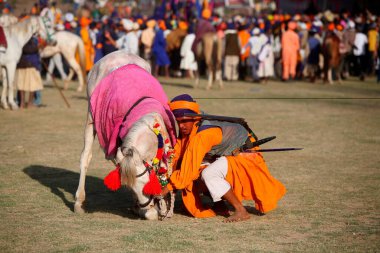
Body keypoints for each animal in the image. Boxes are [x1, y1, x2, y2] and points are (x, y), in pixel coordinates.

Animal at [75, 51, 177, 219]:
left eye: (146, 184)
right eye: (132, 187)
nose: (148, 209)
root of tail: (118, 53)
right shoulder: (116, 148)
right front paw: (142, 208)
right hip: (91, 115)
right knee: (85, 156)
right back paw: (79, 202)